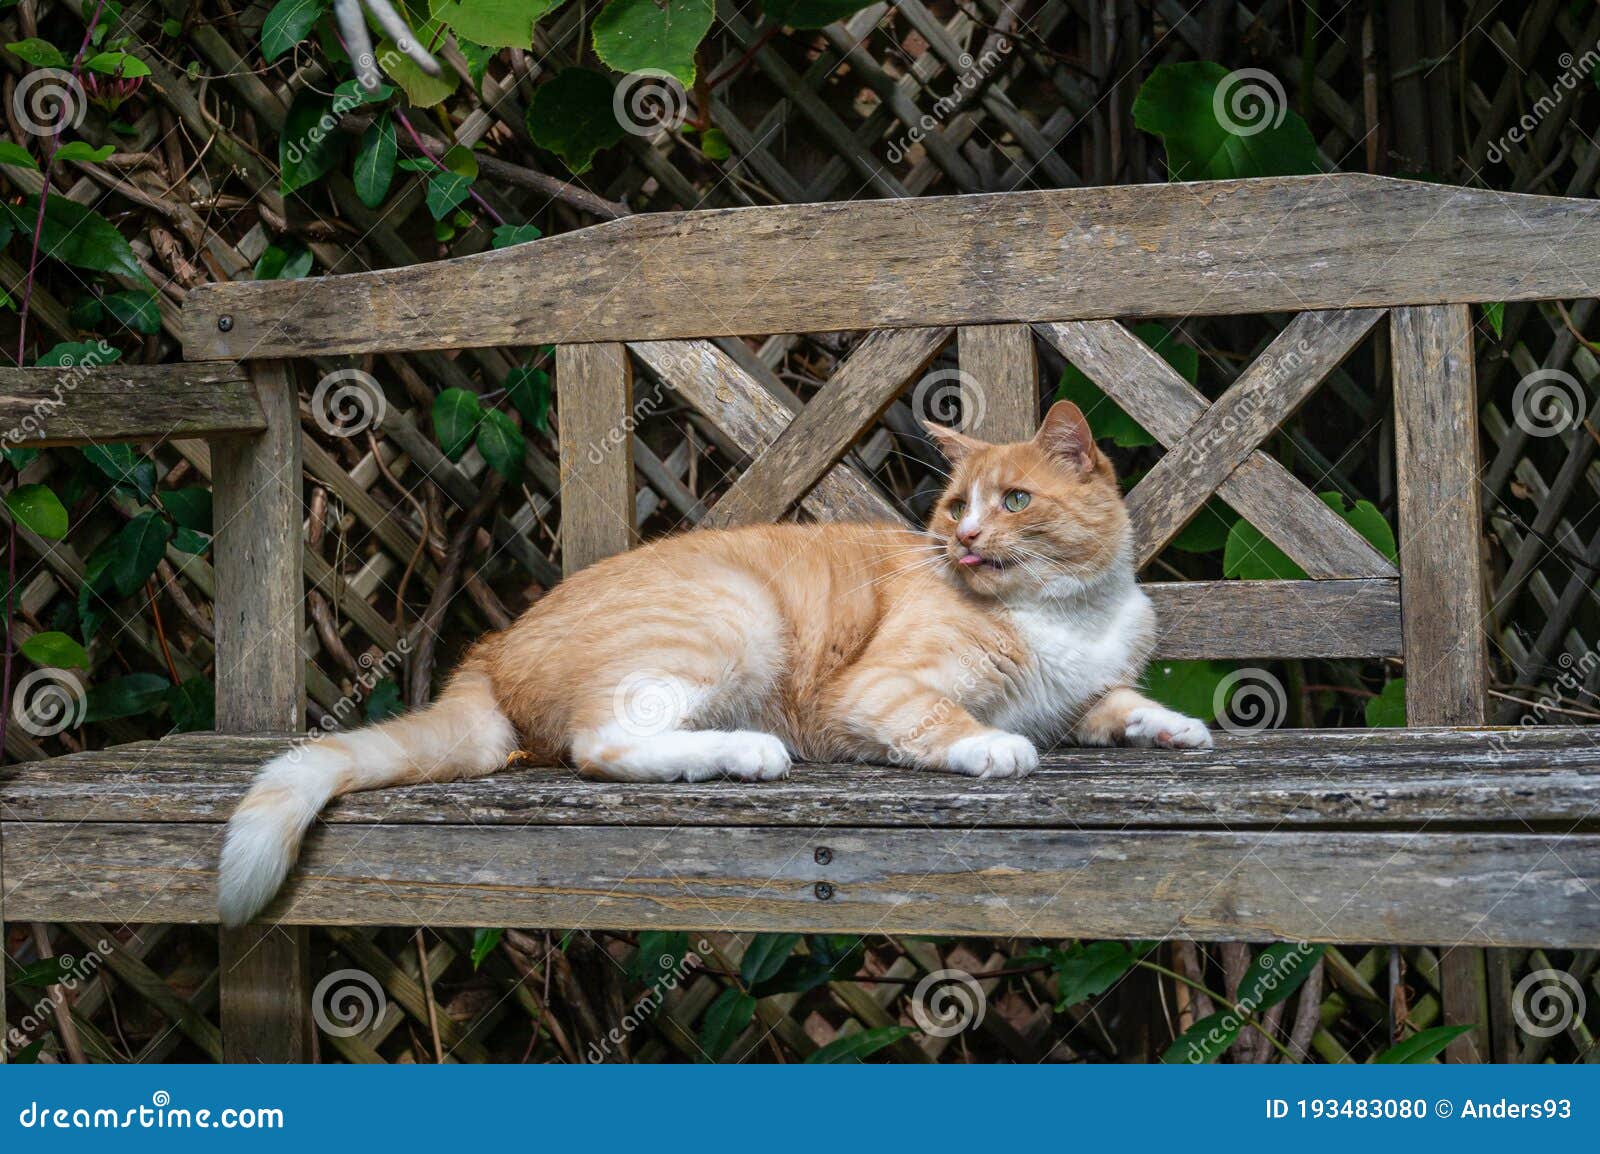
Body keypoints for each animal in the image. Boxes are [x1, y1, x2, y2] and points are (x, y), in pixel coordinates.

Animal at [219, 400, 1203, 921]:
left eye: (1015, 501)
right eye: (956, 503)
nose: (959, 538)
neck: (1068, 614)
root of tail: (490, 648)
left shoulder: (1083, 694)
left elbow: (1118, 706)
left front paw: (1175, 728)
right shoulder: (877, 687)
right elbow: (948, 720)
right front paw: (995, 746)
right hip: (734, 617)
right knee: (603, 748)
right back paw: (745, 751)